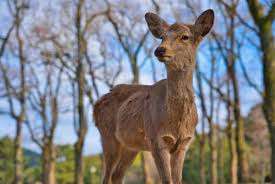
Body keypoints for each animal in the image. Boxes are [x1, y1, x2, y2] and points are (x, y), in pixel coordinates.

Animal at [94, 9, 216, 183]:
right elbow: (166, 180)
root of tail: (95, 105)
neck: (176, 121)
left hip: (131, 146)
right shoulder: (156, 140)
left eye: (185, 36)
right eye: (162, 37)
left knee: (117, 175)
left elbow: (177, 180)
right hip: (108, 136)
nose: (160, 50)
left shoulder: (183, 144)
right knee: (107, 176)